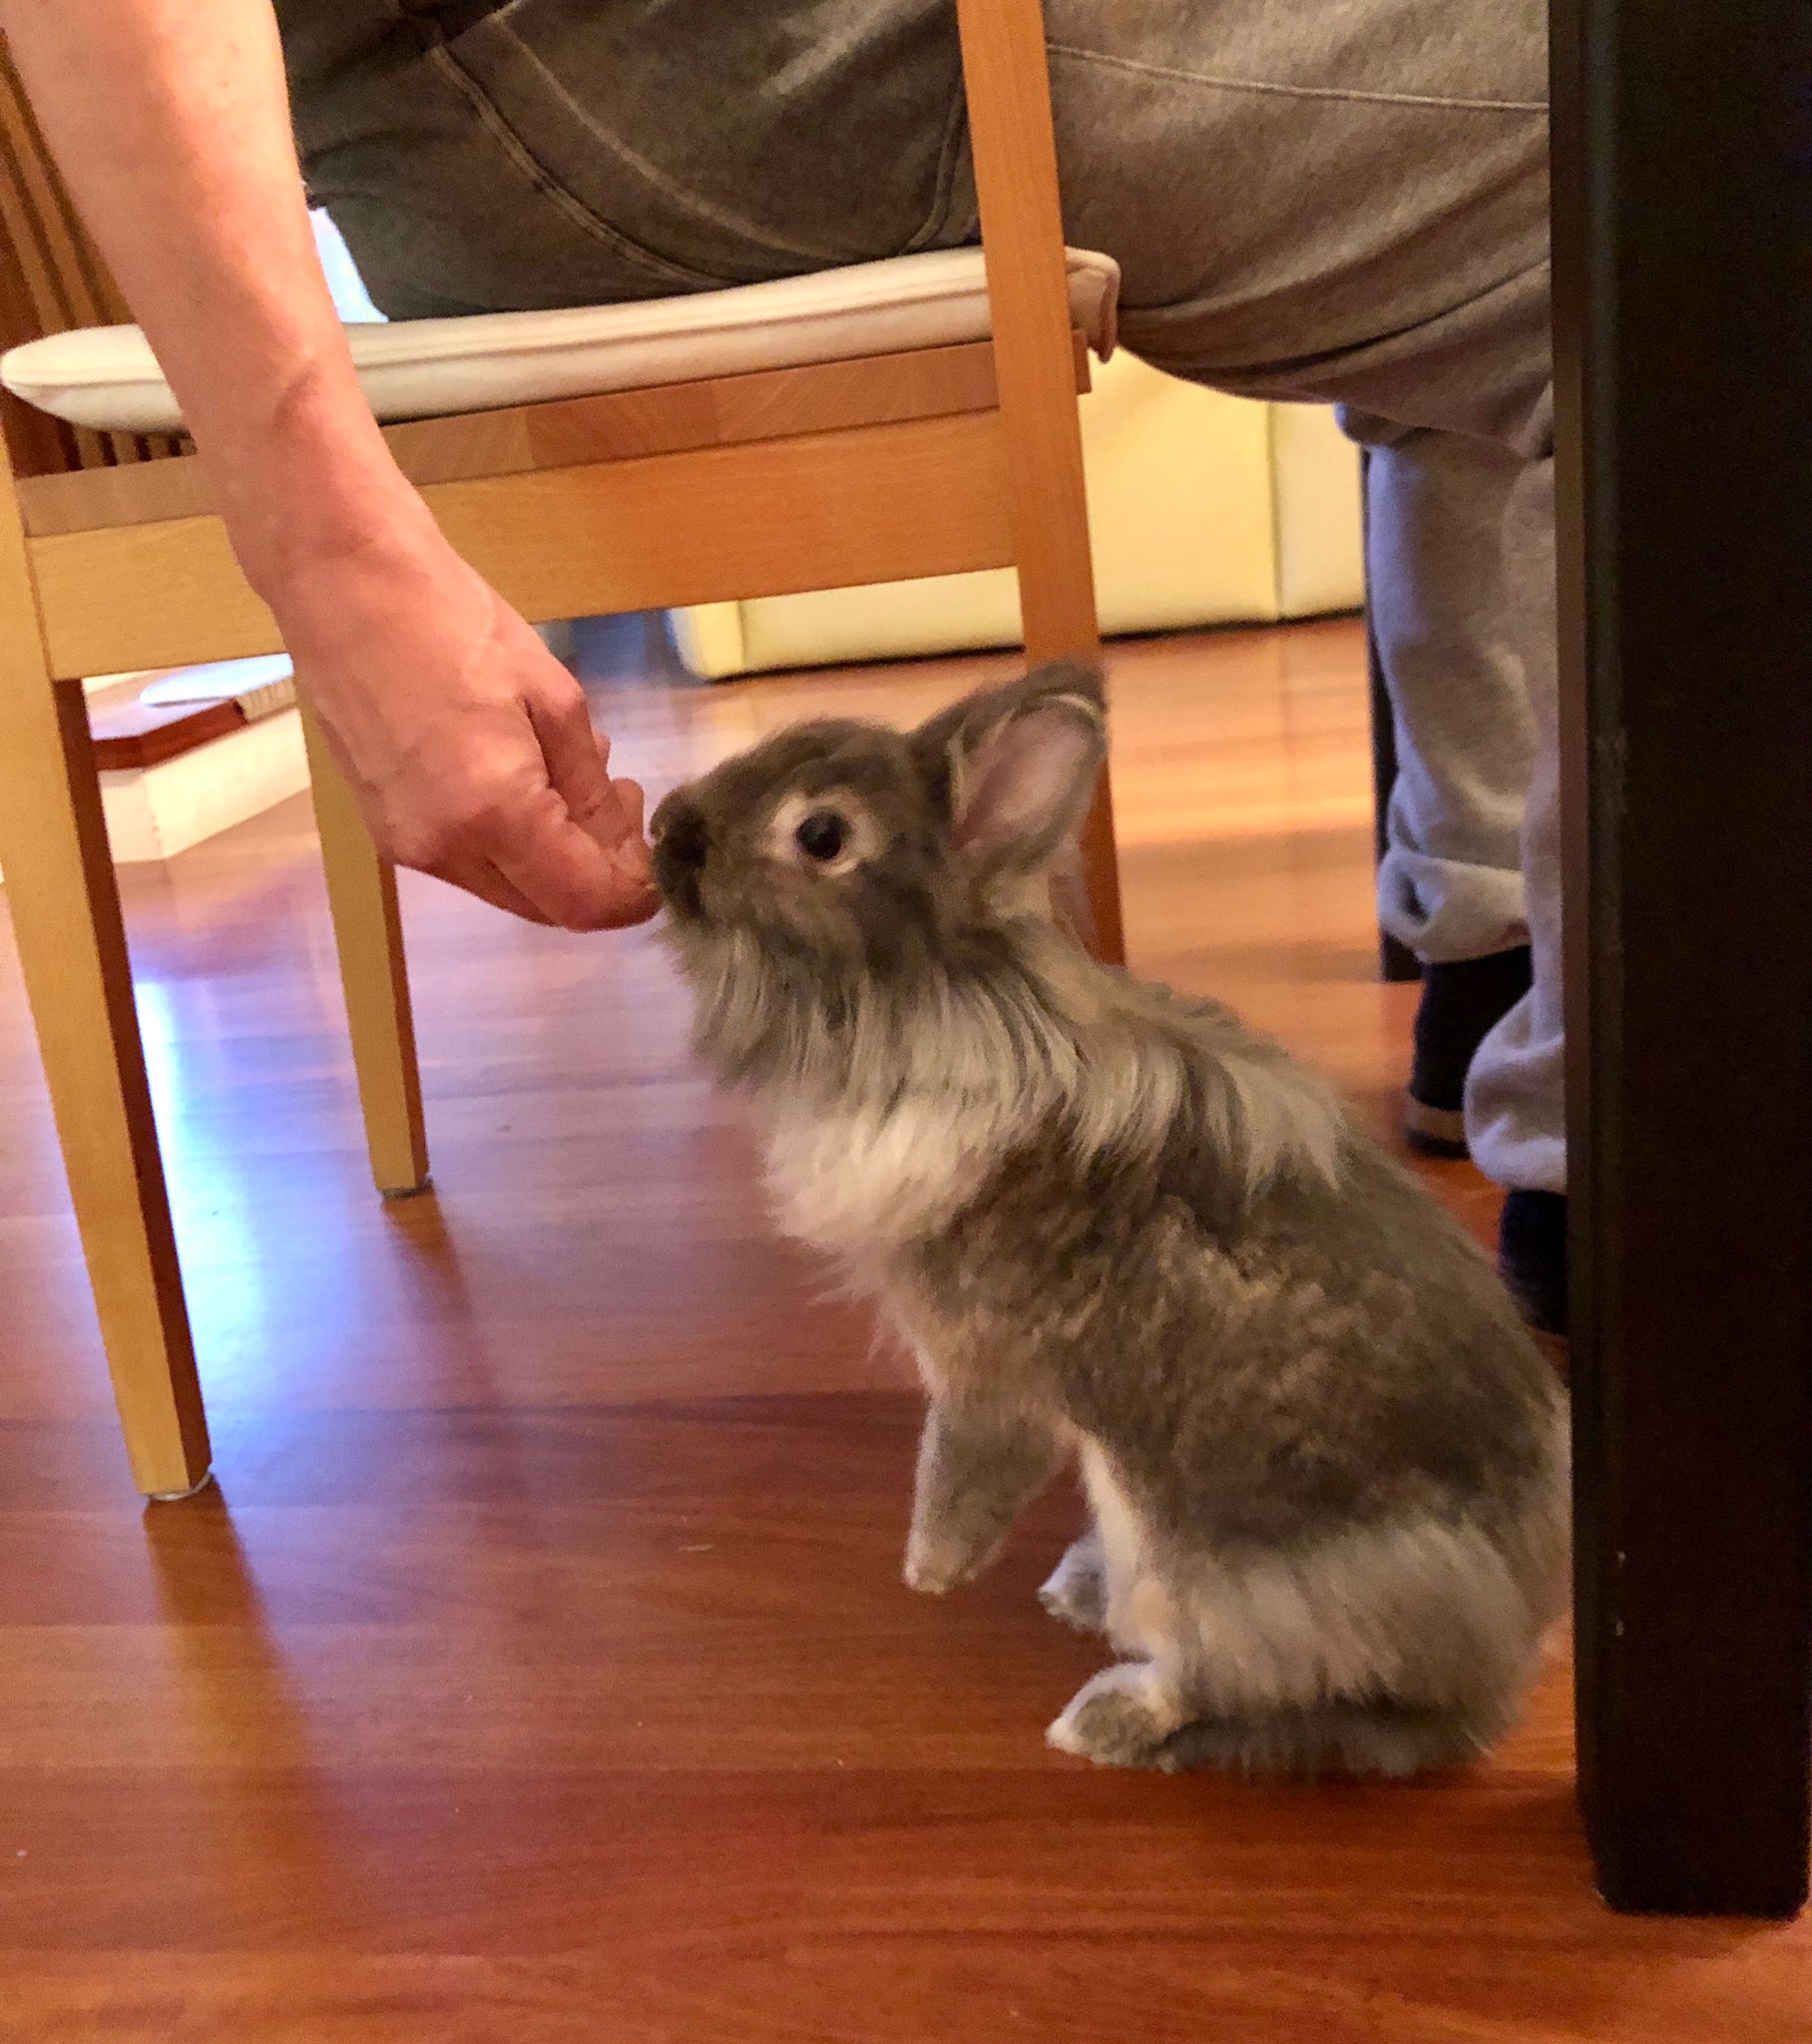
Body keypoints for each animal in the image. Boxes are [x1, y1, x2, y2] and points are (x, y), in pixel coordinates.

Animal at [649, 662, 1569, 1777]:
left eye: (821, 834)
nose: (663, 827)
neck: (936, 992)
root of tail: (1502, 1649)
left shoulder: (981, 1370)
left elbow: (959, 1461)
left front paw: (930, 1569)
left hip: (1193, 1570)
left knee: (1213, 1675)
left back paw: (1103, 1717)